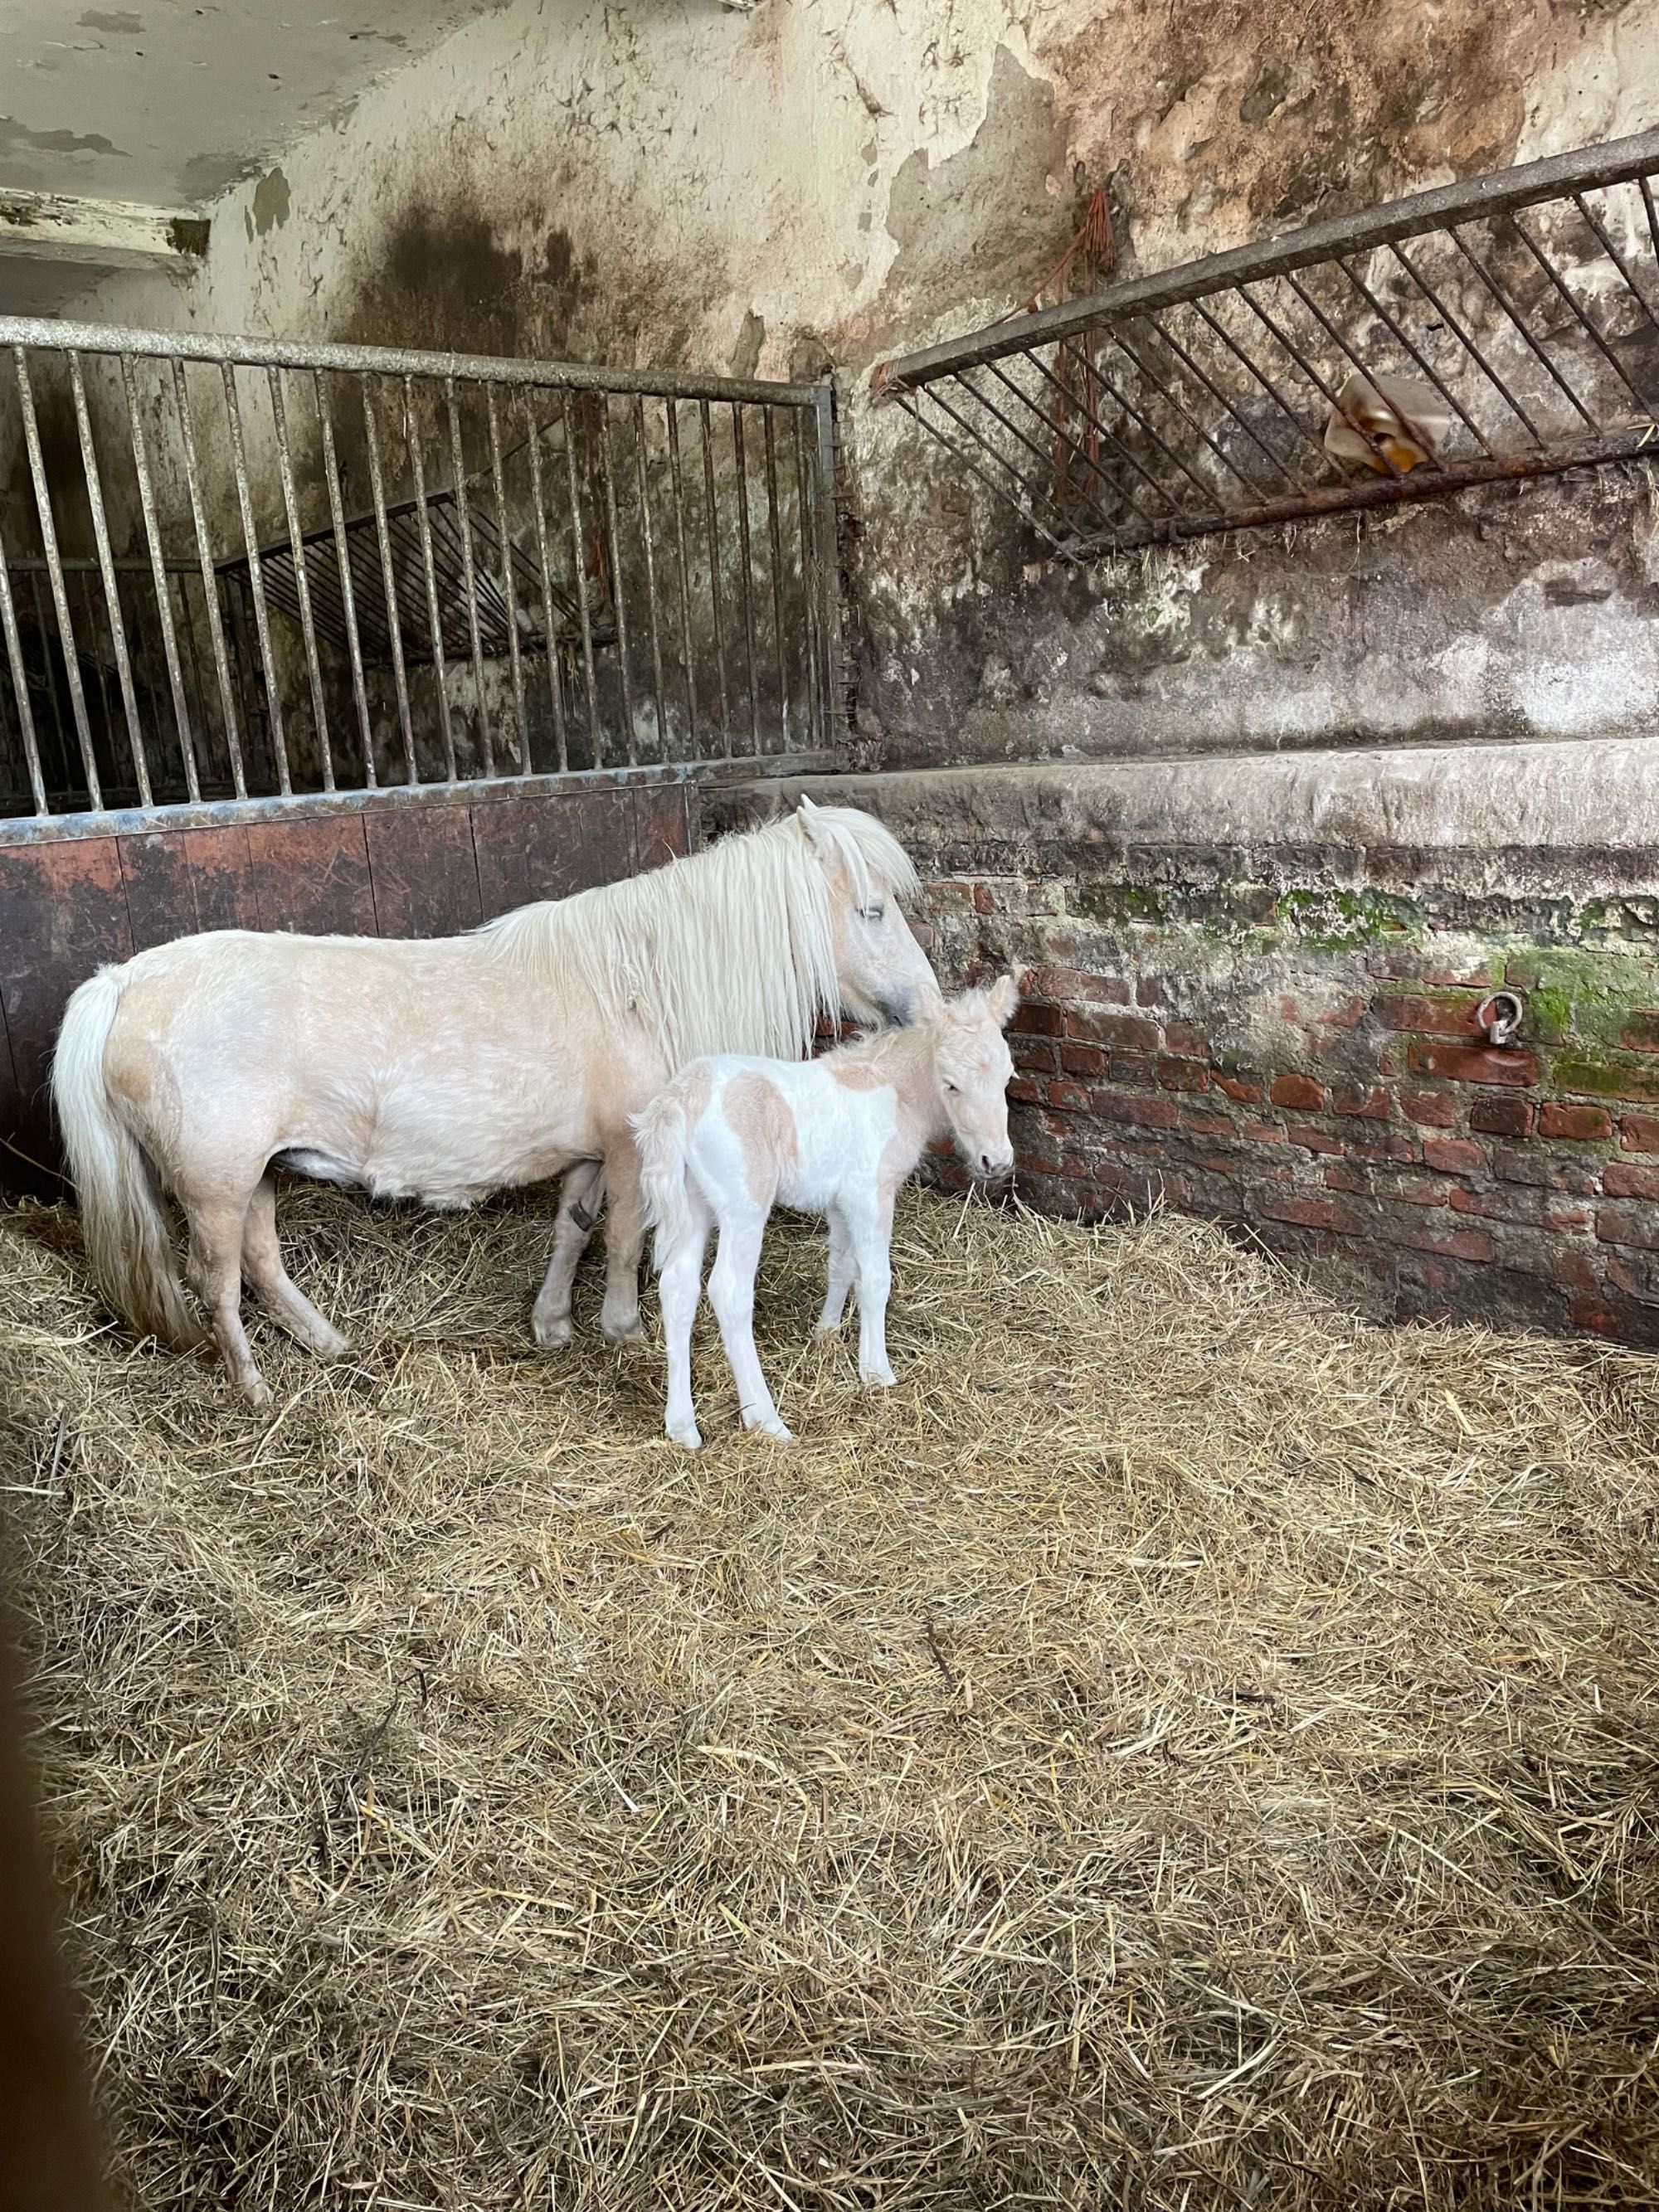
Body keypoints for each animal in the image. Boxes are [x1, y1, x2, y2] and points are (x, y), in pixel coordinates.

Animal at [51, 805, 937, 1407]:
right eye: (872, 910)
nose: (922, 1007)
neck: (638, 987)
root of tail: (124, 981)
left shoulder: (590, 1151)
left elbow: (573, 1229)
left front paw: (553, 1324)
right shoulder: (630, 1147)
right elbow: (623, 1238)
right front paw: (623, 1328)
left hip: (260, 1174)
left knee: (263, 1263)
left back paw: (328, 1343)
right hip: (216, 1184)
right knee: (218, 1283)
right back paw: (255, 1387)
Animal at [637, 977, 1026, 1441]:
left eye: (1007, 1077)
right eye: (951, 1083)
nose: (996, 1162)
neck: (894, 1091)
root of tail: (680, 1099)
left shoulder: (841, 1202)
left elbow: (842, 1264)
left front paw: (825, 1332)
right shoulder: (870, 1194)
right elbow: (875, 1279)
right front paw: (876, 1373)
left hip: (693, 1200)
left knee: (678, 1287)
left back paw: (682, 1428)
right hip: (744, 1206)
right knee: (729, 1291)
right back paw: (766, 1419)